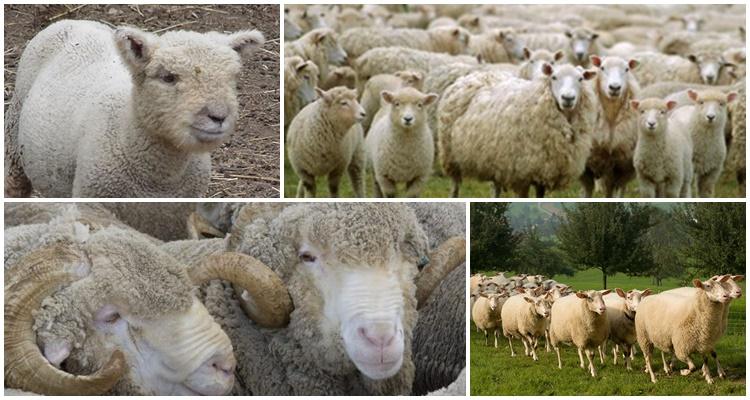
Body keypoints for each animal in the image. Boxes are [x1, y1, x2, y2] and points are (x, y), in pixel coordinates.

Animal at [438, 63, 597, 197]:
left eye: (580, 79)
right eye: (554, 77)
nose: (568, 98)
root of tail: (475, 75)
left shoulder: (544, 170)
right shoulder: (521, 173)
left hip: (495, 158)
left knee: (495, 187)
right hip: (450, 155)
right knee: (455, 185)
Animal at [581, 55, 640, 197]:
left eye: (627, 69)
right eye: (602, 68)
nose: (614, 87)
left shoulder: (620, 166)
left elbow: (613, 193)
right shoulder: (586, 166)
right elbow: (588, 190)